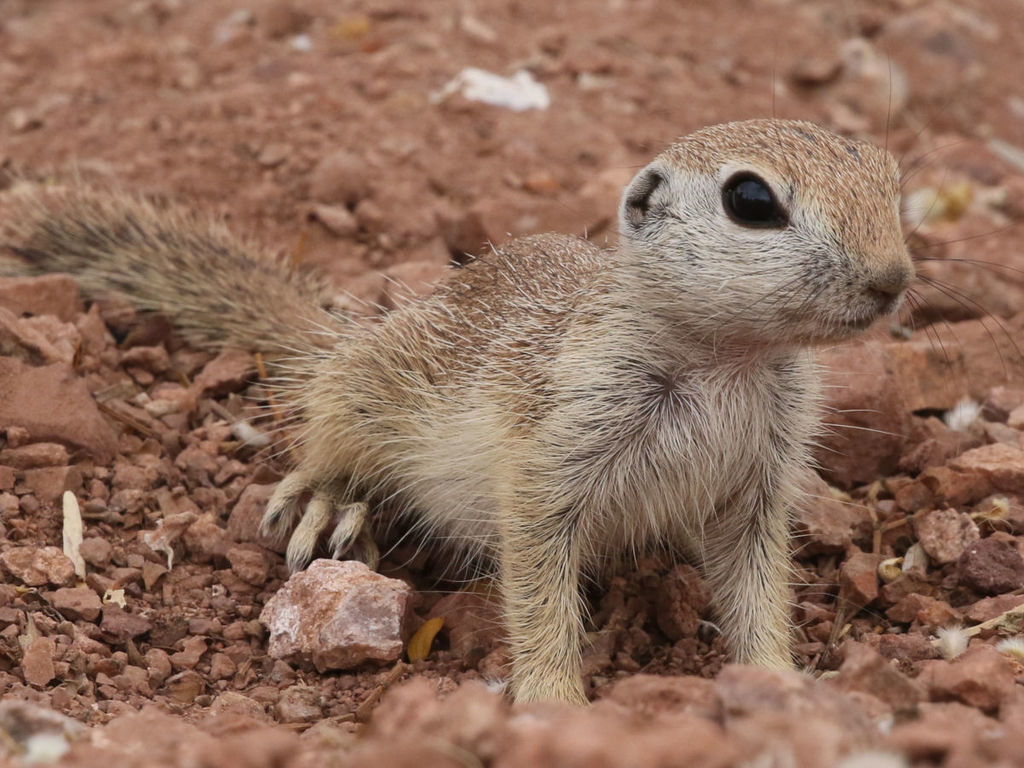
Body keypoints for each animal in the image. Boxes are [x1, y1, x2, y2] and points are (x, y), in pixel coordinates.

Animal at [1, 119, 912, 704]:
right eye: (751, 200)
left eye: (890, 180)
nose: (893, 279)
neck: (730, 360)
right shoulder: (555, 451)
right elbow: (539, 586)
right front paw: (554, 704)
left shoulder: (759, 484)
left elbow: (758, 587)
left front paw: (778, 682)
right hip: (371, 383)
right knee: (327, 424)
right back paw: (330, 497)